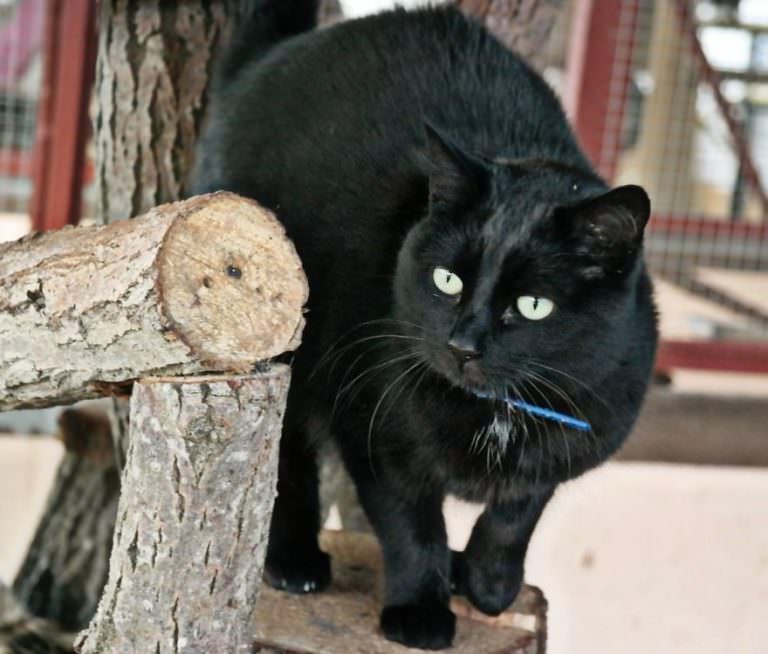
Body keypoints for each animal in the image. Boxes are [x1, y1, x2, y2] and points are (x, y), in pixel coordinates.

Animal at [195, 1, 656, 652]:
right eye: (447, 280)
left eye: (532, 305)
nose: (462, 343)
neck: (497, 412)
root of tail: (272, 56)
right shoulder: (376, 430)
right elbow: (415, 527)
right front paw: (420, 612)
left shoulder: (571, 437)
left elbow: (515, 515)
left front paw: (489, 585)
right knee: (284, 456)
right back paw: (294, 560)